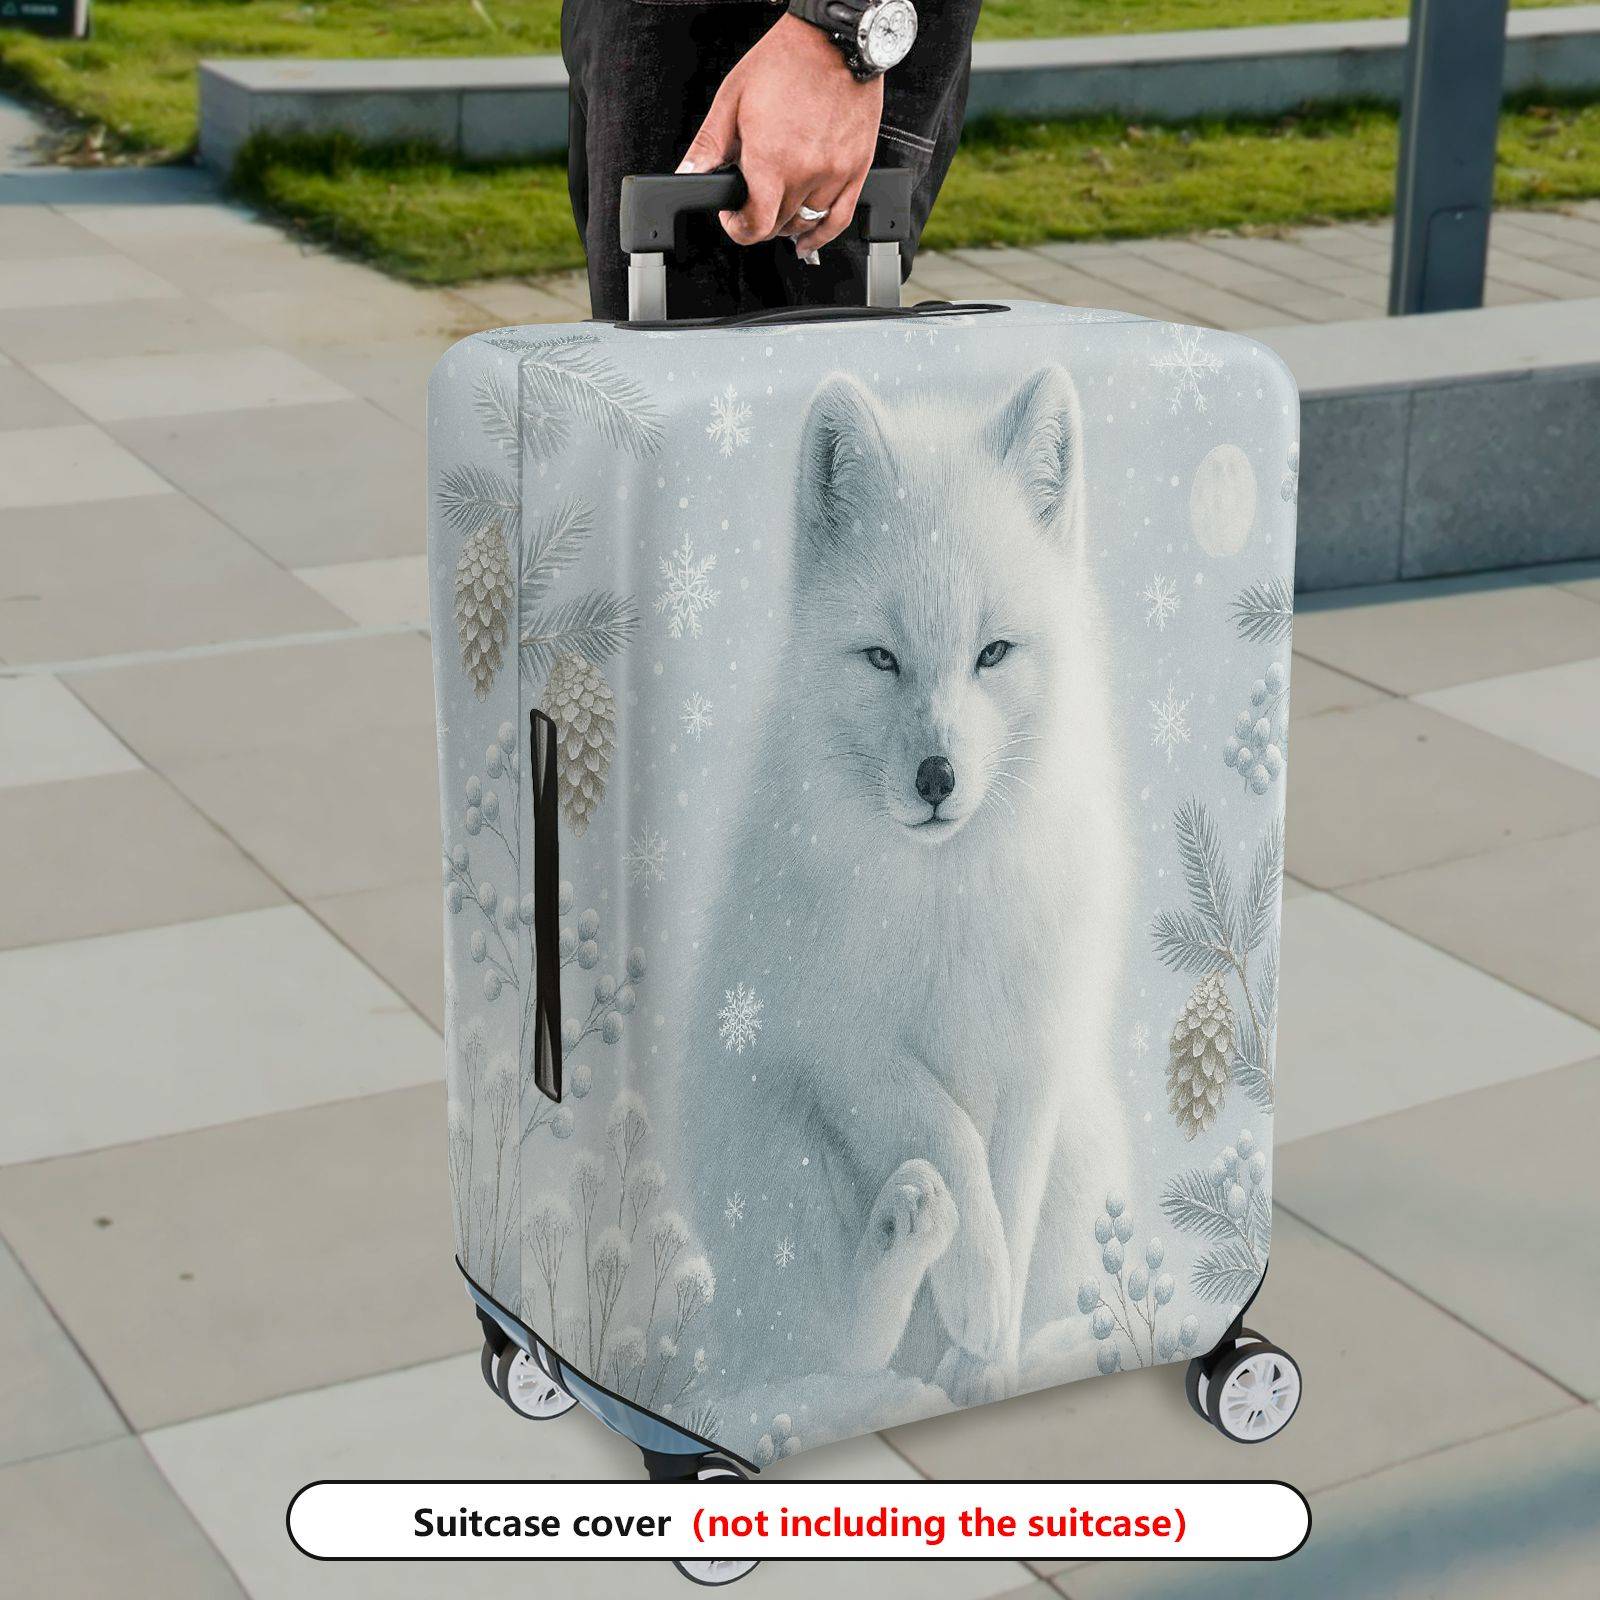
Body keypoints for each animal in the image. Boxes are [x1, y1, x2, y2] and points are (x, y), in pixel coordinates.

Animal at [679, 365, 1132, 1412]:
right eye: (881, 657)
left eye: (993, 652)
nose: (936, 777)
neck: (948, 900)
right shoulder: (839, 1036)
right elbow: (947, 1132)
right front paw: (978, 1286)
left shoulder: (1036, 1052)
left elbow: (1005, 1183)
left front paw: (990, 1345)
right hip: (775, 1143)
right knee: (832, 1346)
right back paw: (904, 1239)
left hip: (1087, 1147)